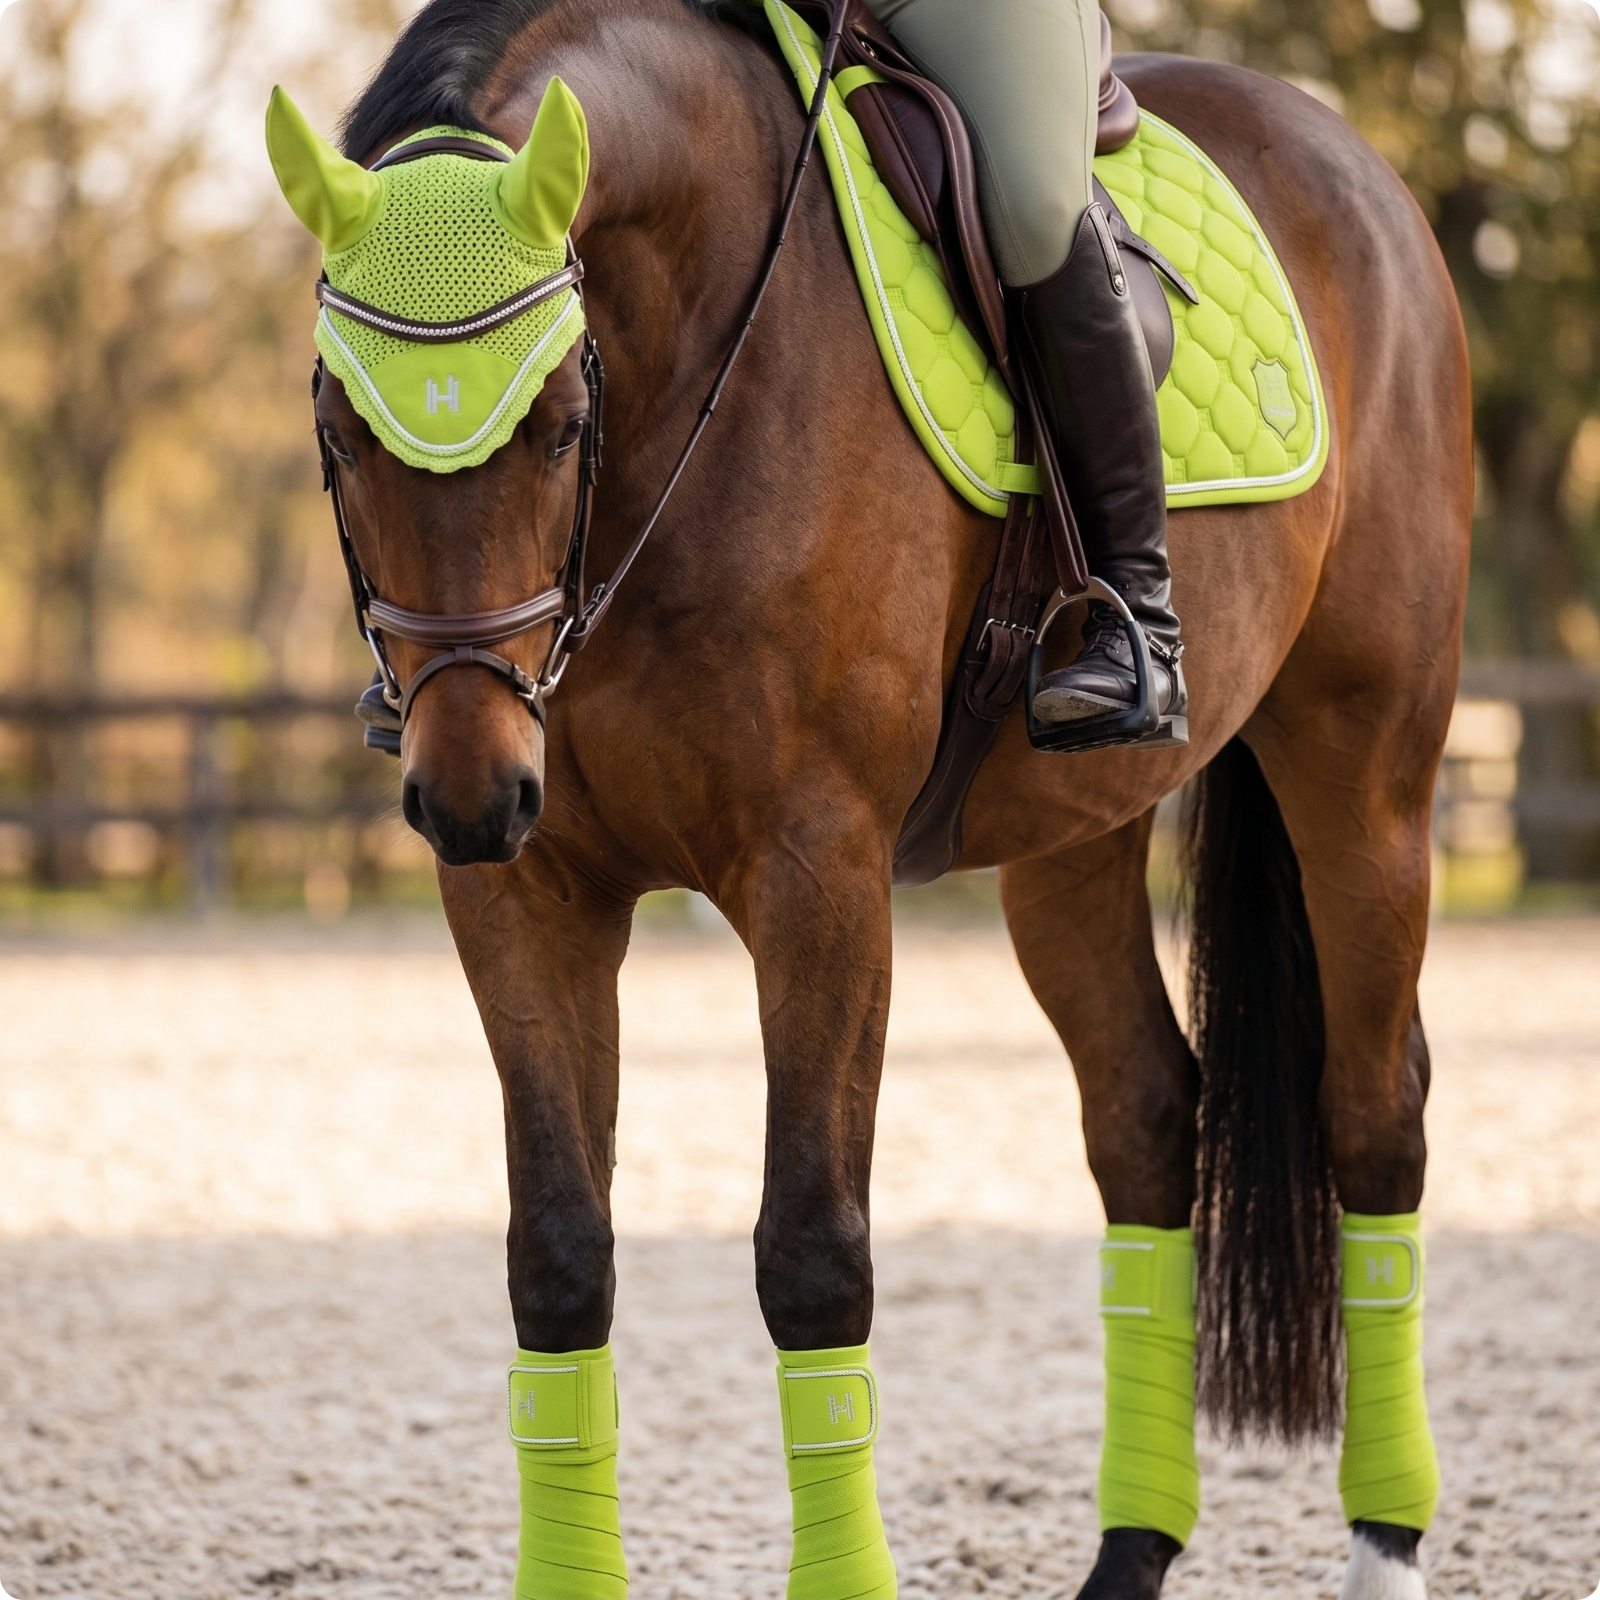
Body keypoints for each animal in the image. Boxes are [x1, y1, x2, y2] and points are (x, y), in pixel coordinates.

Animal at [297, 0, 1471, 1594]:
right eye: (343, 431)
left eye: (556, 420)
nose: (470, 790)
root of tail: (1353, 161)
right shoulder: (527, 892)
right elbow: (556, 1257)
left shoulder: (820, 878)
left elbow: (812, 1254)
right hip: (1073, 837)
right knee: (1147, 1120)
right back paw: (1129, 1552)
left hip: (1365, 773)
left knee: (1374, 1112)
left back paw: (1385, 1541)